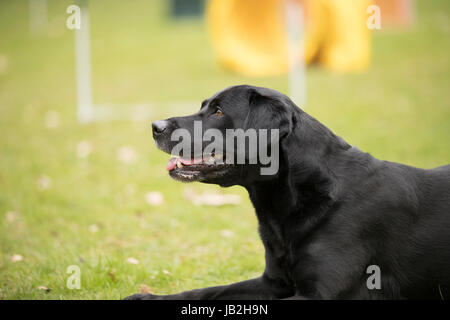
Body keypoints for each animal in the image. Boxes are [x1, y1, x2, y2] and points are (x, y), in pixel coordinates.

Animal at [125, 85, 450, 300]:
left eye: (218, 111)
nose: (155, 126)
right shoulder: (273, 282)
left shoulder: (320, 295)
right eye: (203, 106)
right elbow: (208, 292)